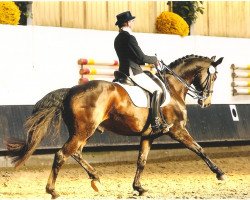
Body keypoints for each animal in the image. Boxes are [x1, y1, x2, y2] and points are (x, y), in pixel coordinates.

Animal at [6, 54, 225, 198]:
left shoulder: (148, 135)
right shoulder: (178, 130)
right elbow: (199, 150)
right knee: (62, 154)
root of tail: (71, 90)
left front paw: (138, 187)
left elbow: (141, 161)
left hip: (84, 131)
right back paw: (53, 190)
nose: (206, 102)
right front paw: (220, 173)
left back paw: (95, 178)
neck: (172, 87)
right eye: (214, 77)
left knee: (75, 152)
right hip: (84, 130)